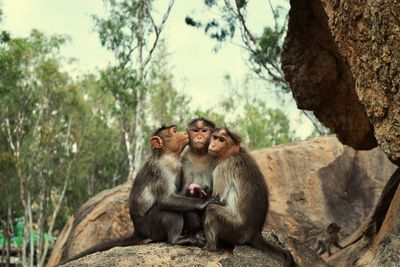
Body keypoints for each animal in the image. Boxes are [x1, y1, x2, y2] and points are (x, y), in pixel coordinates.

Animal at [60, 125, 209, 266]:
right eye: (173, 131)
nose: (184, 133)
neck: (167, 157)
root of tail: (138, 231)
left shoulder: (179, 167)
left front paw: (197, 191)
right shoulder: (160, 170)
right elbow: (166, 200)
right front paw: (203, 202)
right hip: (152, 228)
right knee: (168, 211)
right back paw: (177, 238)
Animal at [203, 129, 294, 266]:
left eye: (221, 140)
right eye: (215, 137)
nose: (212, 145)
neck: (234, 153)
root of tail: (255, 233)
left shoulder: (223, 167)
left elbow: (216, 200)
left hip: (235, 229)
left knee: (211, 210)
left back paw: (210, 248)